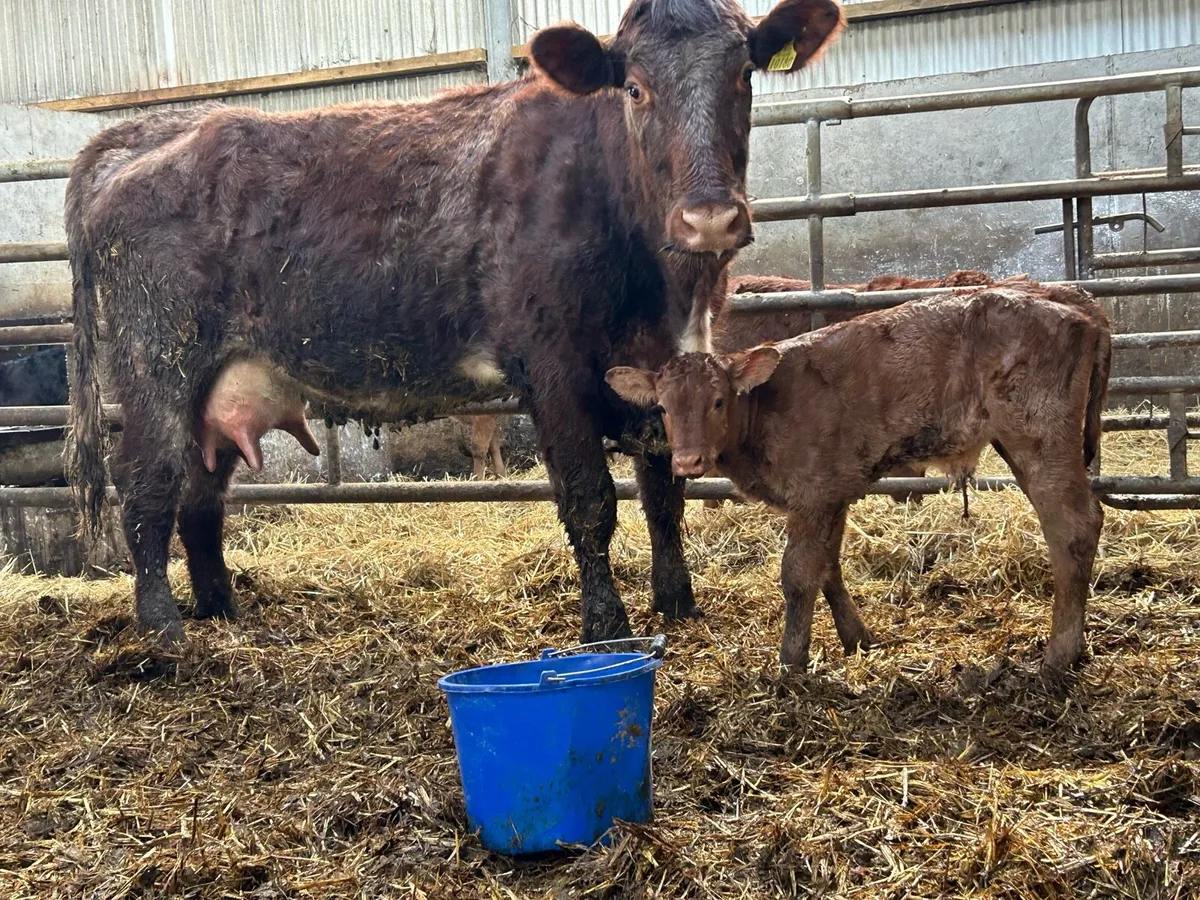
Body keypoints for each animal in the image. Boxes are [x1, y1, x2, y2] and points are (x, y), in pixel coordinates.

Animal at [64, 0, 846, 644]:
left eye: (744, 75)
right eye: (633, 87)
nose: (709, 217)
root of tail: (154, 131)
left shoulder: (666, 367)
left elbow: (664, 493)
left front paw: (677, 603)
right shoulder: (552, 368)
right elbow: (590, 499)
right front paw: (607, 625)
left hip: (223, 380)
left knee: (201, 495)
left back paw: (222, 610)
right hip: (157, 363)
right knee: (148, 486)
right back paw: (165, 632)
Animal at [607, 279, 1112, 673]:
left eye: (717, 400)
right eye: (663, 407)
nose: (688, 462)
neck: (762, 406)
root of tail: (1066, 296)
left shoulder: (811, 494)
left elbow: (798, 572)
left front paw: (791, 660)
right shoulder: (834, 492)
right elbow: (828, 565)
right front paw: (857, 638)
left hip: (1039, 436)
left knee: (1074, 527)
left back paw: (1059, 655)